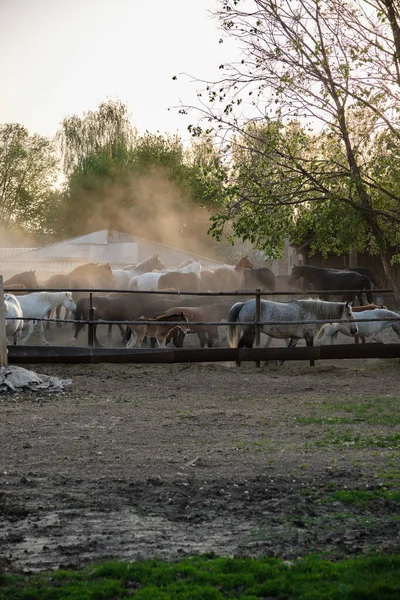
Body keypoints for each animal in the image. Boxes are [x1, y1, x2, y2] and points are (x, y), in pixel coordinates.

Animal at [228, 298, 356, 368]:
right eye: (349, 314)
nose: (355, 330)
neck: (312, 312)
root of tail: (243, 304)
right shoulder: (309, 337)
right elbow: (311, 352)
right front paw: (312, 365)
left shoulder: (296, 338)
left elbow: (288, 352)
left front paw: (278, 364)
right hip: (249, 331)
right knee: (241, 346)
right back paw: (240, 364)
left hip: (251, 332)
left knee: (247, 347)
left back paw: (256, 363)